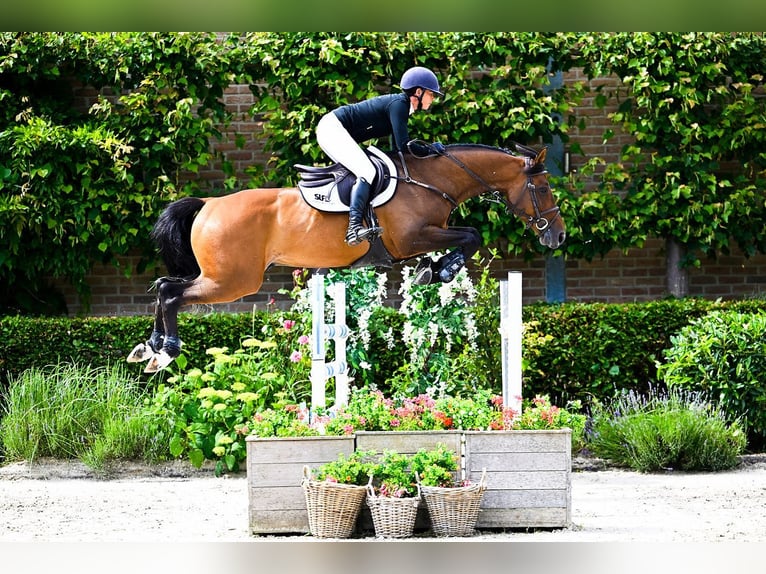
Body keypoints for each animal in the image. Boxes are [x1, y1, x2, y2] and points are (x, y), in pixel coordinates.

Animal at [129, 141, 568, 374]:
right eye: (545, 188)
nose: (558, 235)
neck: (431, 180)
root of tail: (208, 204)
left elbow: (466, 236)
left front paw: (434, 269)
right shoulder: (412, 239)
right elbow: (471, 234)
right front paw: (438, 271)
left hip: (222, 278)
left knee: (164, 286)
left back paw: (148, 348)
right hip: (232, 281)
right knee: (172, 293)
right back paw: (166, 351)